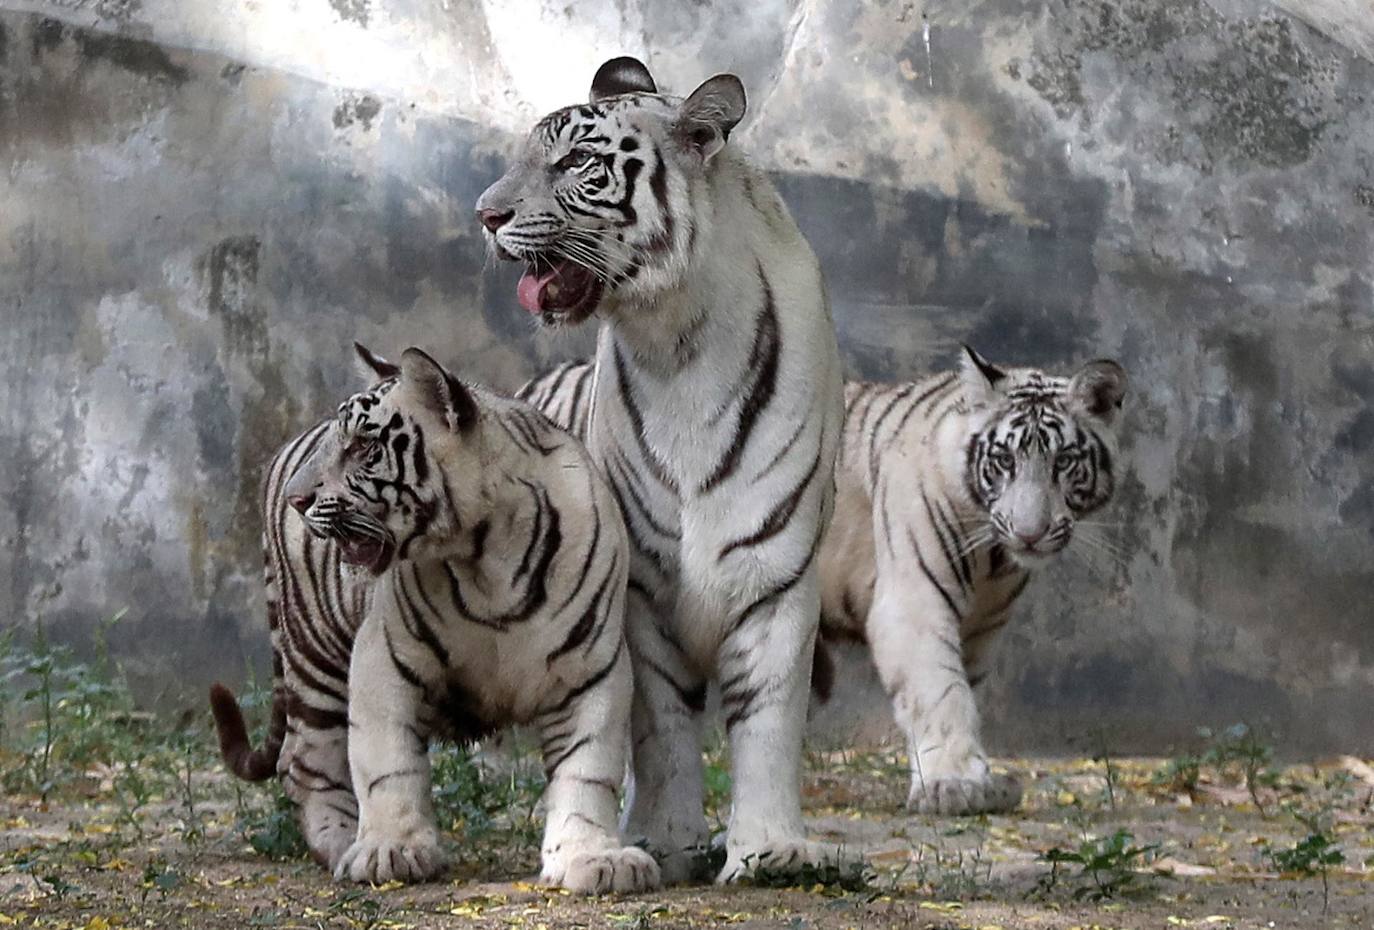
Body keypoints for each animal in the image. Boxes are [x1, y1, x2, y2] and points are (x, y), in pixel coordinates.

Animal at [209, 344, 659, 894]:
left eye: (362, 446)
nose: (300, 500)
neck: (486, 558)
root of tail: (279, 453)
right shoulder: (382, 657)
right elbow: (387, 762)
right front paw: (390, 849)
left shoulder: (591, 668)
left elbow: (588, 769)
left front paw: (593, 857)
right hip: (316, 656)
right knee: (304, 763)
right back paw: (342, 843)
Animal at [478, 57, 845, 883]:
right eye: (522, 154)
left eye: (575, 162)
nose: (483, 214)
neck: (678, 342)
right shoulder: (643, 588)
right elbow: (664, 726)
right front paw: (661, 840)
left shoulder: (776, 574)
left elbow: (768, 721)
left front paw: (771, 849)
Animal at [521, 347, 1128, 817]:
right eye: (1003, 460)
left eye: (1064, 463)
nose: (1030, 532)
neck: (995, 560)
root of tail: (538, 384)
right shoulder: (912, 605)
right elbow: (940, 692)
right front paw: (958, 784)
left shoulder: (978, 630)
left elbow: (954, 692)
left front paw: (943, 778)